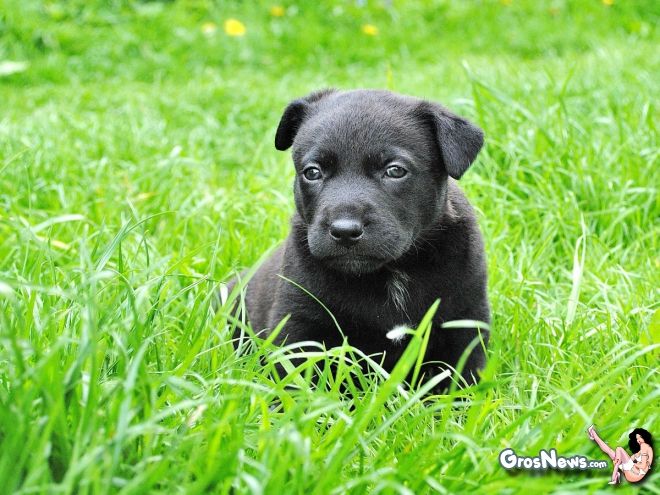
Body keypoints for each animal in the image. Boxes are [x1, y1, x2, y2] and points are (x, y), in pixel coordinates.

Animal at [227, 89, 490, 390]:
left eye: (395, 170)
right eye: (312, 172)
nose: (344, 230)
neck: (393, 271)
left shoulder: (464, 323)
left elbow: (459, 383)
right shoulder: (299, 323)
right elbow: (296, 382)